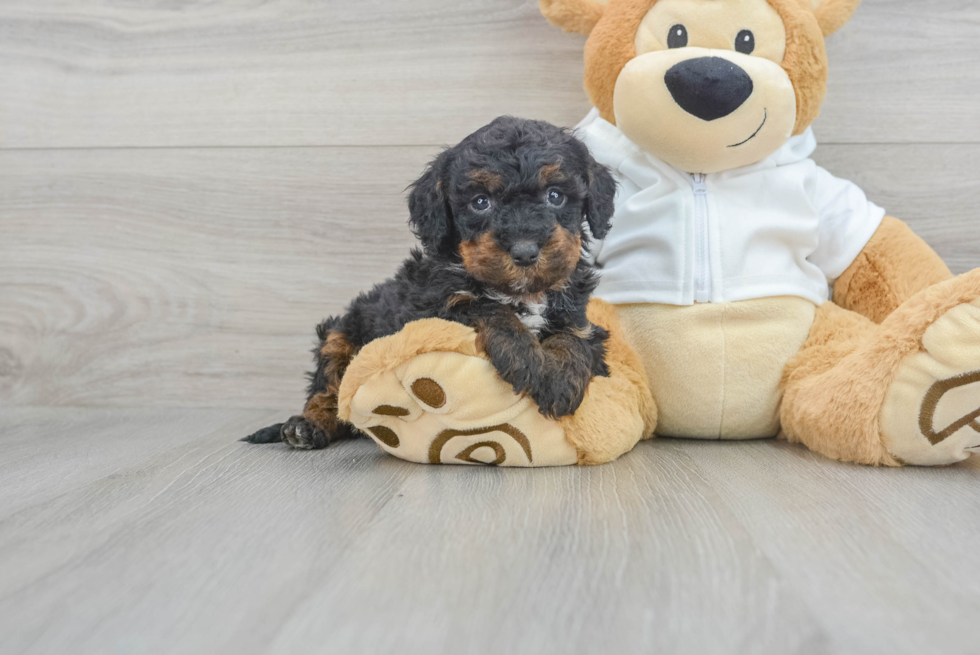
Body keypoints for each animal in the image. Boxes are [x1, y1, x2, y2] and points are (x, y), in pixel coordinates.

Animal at [243, 116, 612, 452]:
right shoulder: (431, 308)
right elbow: (483, 307)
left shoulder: (580, 318)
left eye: (555, 196)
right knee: (328, 388)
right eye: (480, 202)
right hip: (340, 332)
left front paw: (561, 379)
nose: (524, 251)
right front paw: (525, 357)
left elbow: (574, 337)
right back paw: (307, 425)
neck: (522, 292)